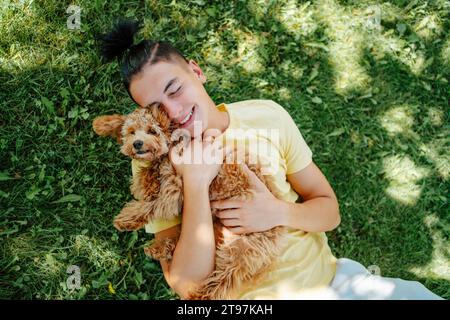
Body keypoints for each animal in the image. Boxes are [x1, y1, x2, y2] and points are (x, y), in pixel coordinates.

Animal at [93, 106, 286, 298]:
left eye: (152, 131)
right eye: (132, 132)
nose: (137, 144)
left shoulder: (174, 189)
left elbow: (152, 206)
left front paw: (125, 219)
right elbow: (149, 176)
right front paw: (147, 184)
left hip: (241, 248)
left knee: (224, 281)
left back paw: (200, 293)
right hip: (212, 230)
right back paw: (160, 248)